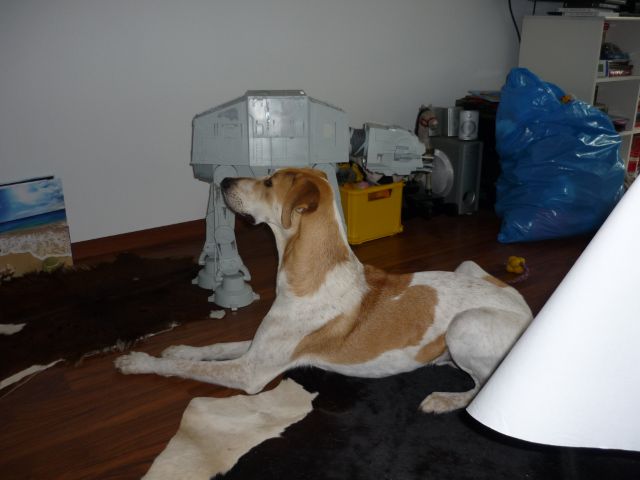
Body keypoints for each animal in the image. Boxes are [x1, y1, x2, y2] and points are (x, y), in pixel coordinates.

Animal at [116, 168, 532, 413]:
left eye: (268, 182)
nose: (225, 182)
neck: (306, 274)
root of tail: (529, 314)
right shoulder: (260, 348)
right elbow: (214, 347)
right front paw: (180, 347)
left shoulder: (250, 372)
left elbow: (183, 368)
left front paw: (139, 362)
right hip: (467, 268)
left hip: (465, 324)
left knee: (484, 387)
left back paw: (445, 399)